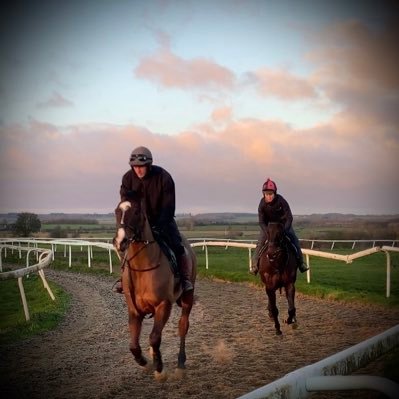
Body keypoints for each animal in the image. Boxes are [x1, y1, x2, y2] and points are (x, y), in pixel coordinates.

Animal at [115, 200, 196, 382]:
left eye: (136, 212)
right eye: (117, 211)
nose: (120, 241)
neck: (142, 268)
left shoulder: (163, 305)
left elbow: (154, 337)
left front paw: (159, 367)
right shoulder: (134, 310)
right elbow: (133, 345)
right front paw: (145, 362)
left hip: (187, 298)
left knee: (183, 326)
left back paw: (180, 364)